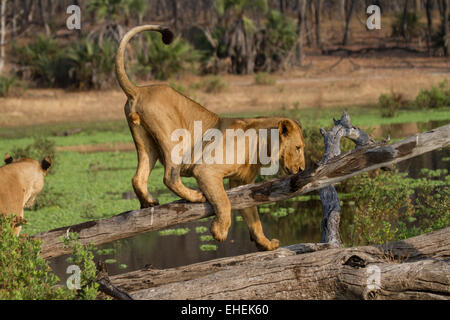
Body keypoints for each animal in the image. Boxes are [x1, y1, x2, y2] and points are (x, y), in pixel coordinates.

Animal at [116, 24, 306, 250]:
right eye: (298, 148)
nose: (302, 169)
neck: (263, 144)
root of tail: (139, 90)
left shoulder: (240, 183)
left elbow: (253, 217)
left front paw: (266, 244)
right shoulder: (207, 170)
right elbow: (224, 201)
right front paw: (220, 231)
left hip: (145, 143)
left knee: (138, 177)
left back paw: (149, 202)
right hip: (175, 139)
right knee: (169, 176)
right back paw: (195, 196)